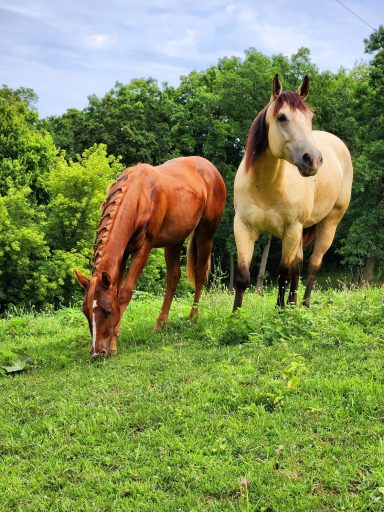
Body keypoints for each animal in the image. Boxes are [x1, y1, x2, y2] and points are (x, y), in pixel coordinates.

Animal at [75, 156, 225, 356]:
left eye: (107, 310)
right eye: (85, 311)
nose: (97, 353)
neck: (139, 196)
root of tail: (210, 168)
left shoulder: (143, 248)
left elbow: (124, 293)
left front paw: (113, 344)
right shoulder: (123, 253)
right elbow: (117, 290)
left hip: (206, 234)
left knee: (200, 274)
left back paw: (193, 318)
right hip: (175, 240)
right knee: (173, 277)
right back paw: (160, 324)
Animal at [232, 74, 352, 310]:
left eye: (310, 117)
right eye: (282, 117)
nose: (313, 159)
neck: (266, 186)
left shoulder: (292, 230)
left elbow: (283, 275)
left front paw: (280, 312)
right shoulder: (243, 227)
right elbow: (242, 277)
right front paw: (235, 315)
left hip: (329, 223)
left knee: (312, 266)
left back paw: (303, 306)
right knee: (298, 264)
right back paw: (293, 303)